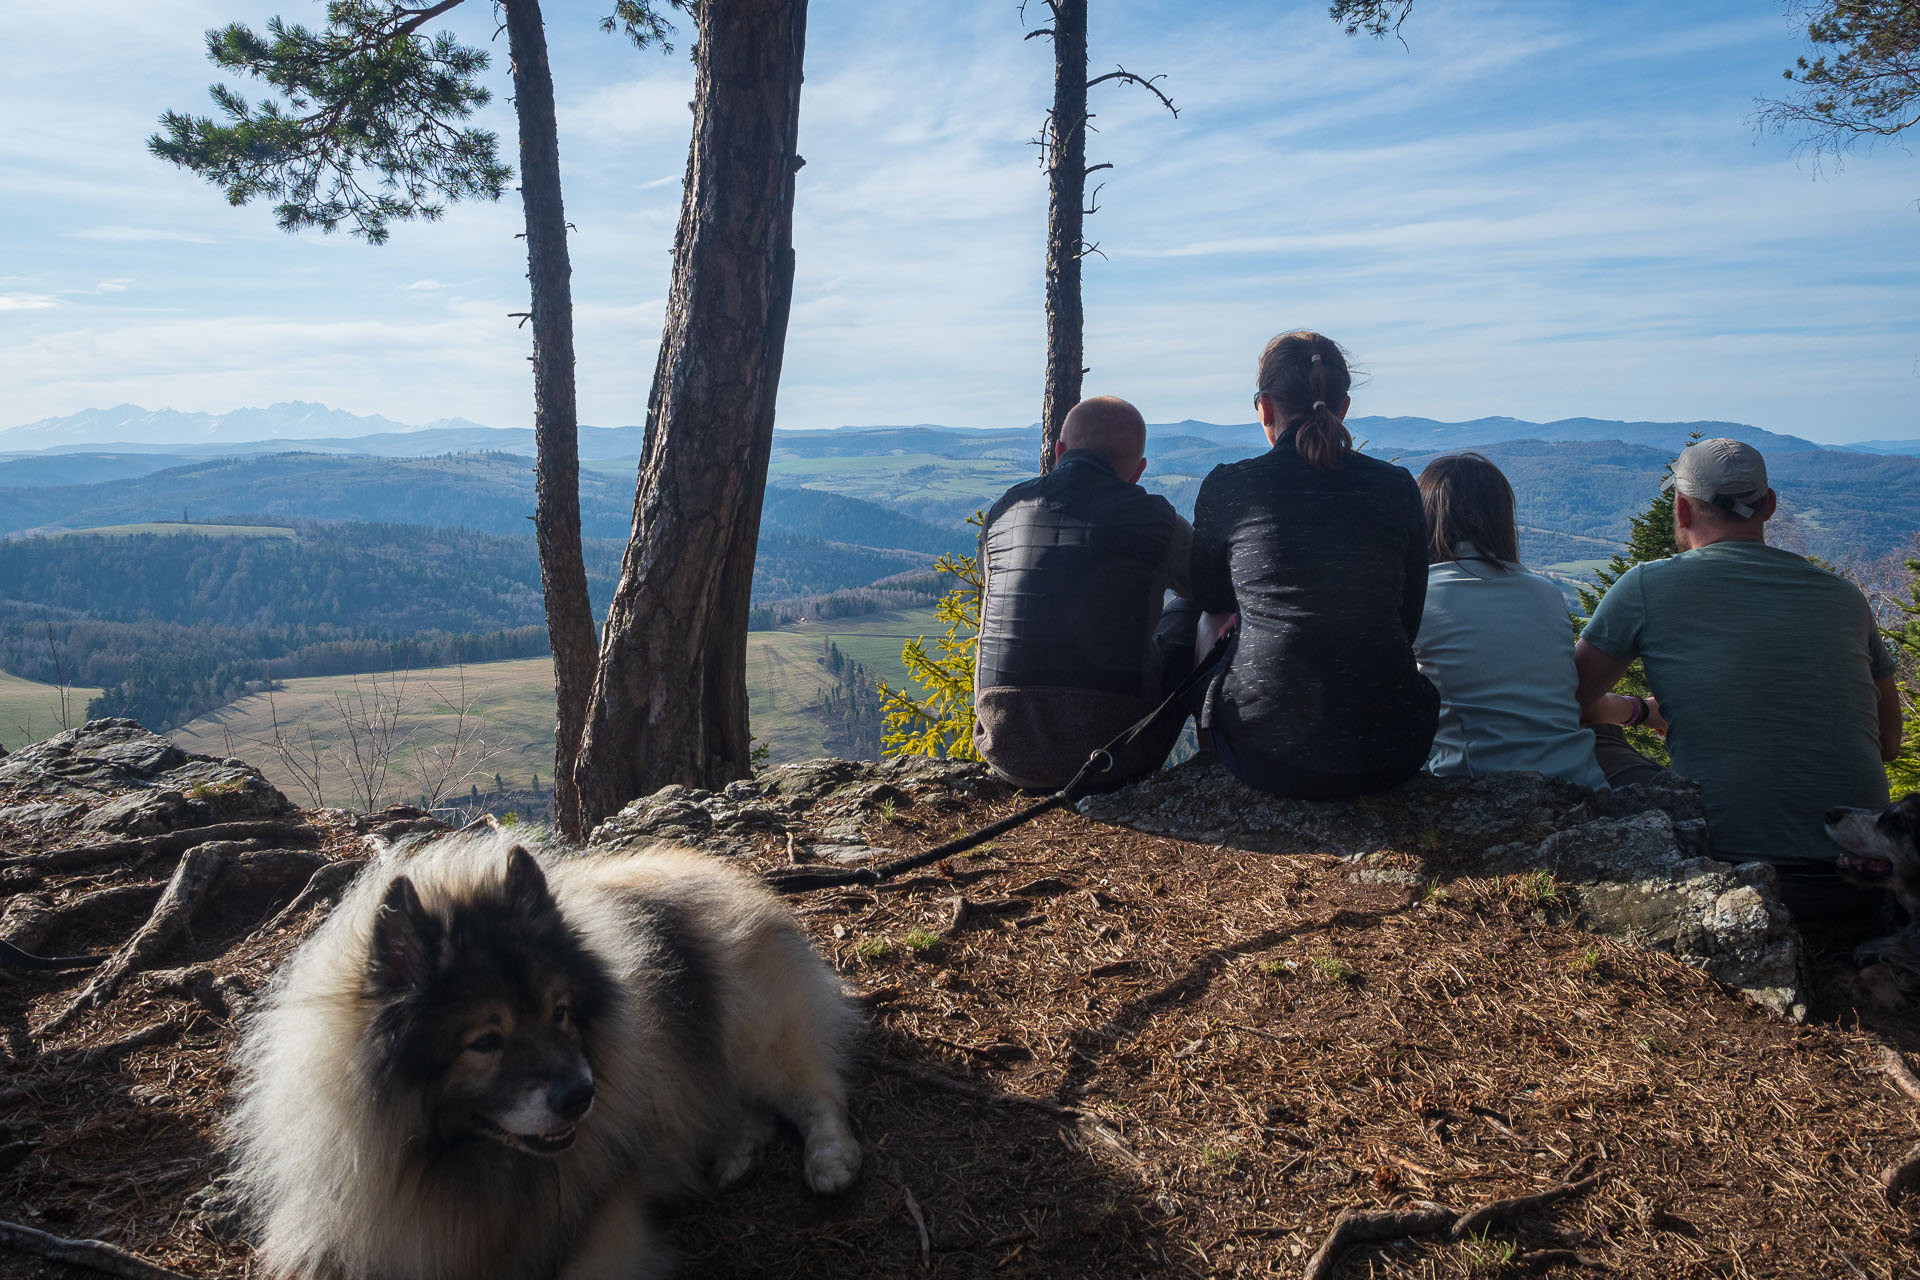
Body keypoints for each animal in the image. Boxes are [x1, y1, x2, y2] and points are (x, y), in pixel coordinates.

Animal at [222, 832, 856, 1280]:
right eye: (484, 1042)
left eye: (561, 1013)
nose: (582, 1096)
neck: (451, 1164)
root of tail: (723, 873)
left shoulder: (607, 1215)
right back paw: (733, 1152)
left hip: (757, 1035)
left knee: (817, 1096)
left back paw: (830, 1161)